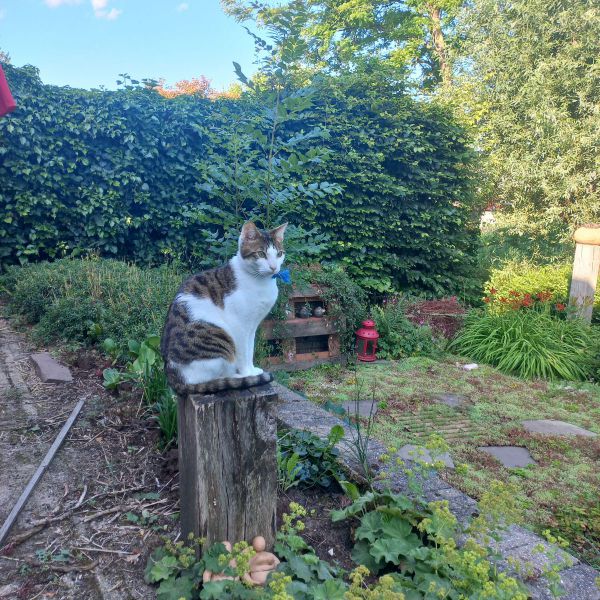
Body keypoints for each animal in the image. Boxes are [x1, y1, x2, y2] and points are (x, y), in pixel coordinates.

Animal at [161, 220, 288, 394]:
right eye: (261, 254)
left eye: (279, 254)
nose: (274, 267)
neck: (260, 282)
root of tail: (173, 377)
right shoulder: (240, 326)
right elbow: (243, 353)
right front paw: (248, 373)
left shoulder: (252, 326)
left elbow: (250, 350)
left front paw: (252, 370)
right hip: (220, 337)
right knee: (208, 379)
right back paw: (238, 378)